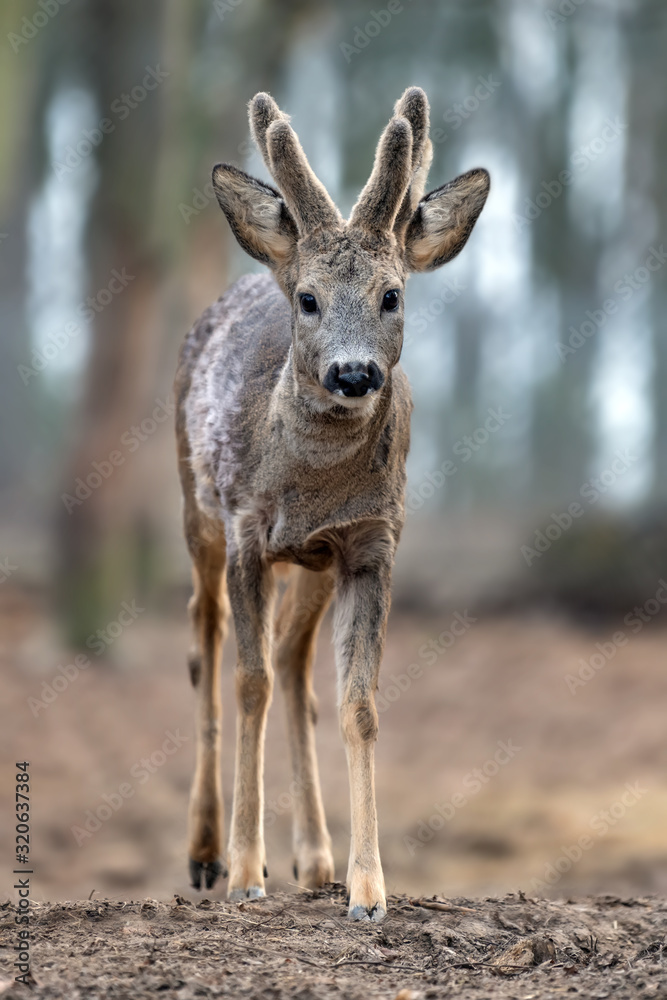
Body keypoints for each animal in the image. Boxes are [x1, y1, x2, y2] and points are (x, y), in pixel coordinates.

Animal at [176, 86, 490, 920]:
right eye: (311, 300)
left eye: (391, 295)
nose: (353, 374)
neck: (309, 482)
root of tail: (259, 267)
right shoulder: (248, 529)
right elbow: (246, 683)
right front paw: (246, 874)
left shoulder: (370, 544)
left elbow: (357, 703)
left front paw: (368, 889)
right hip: (195, 503)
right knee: (206, 640)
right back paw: (205, 852)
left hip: (312, 564)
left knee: (291, 657)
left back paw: (314, 858)